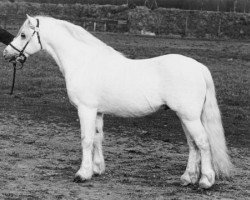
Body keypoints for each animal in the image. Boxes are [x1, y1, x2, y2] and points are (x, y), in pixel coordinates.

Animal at [2, 16, 233, 189]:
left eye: (23, 35)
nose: (6, 53)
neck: (84, 62)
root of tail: (199, 68)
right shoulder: (97, 112)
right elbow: (97, 138)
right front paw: (96, 169)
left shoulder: (86, 109)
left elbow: (86, 139)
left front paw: (82, 174)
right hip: (185, 116)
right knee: (193, 145)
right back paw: (187, 178)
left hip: (190, 116)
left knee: (203, 142)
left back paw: (205, 181)